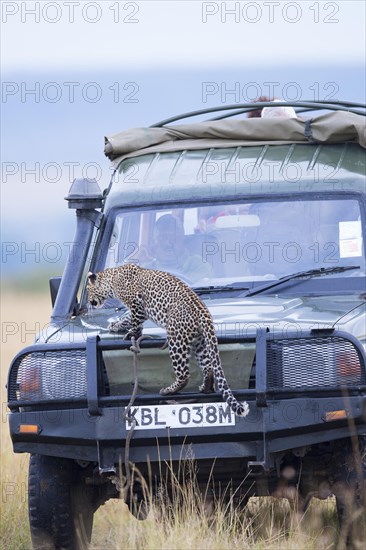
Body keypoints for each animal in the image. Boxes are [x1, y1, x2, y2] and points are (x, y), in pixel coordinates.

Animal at [87, 264, 250, 418]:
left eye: (88, 290)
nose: (91, 303)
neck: (112, 280)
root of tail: (204, 312)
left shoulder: (136, 303)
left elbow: (135, 321)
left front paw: (132, 333)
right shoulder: (139, 309)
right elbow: (127, 318)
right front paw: (115, 325)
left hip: (177, 340)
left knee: (184, 375)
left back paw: (167, 391)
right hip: (200, 343)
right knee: (208, 367)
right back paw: (205, 388)